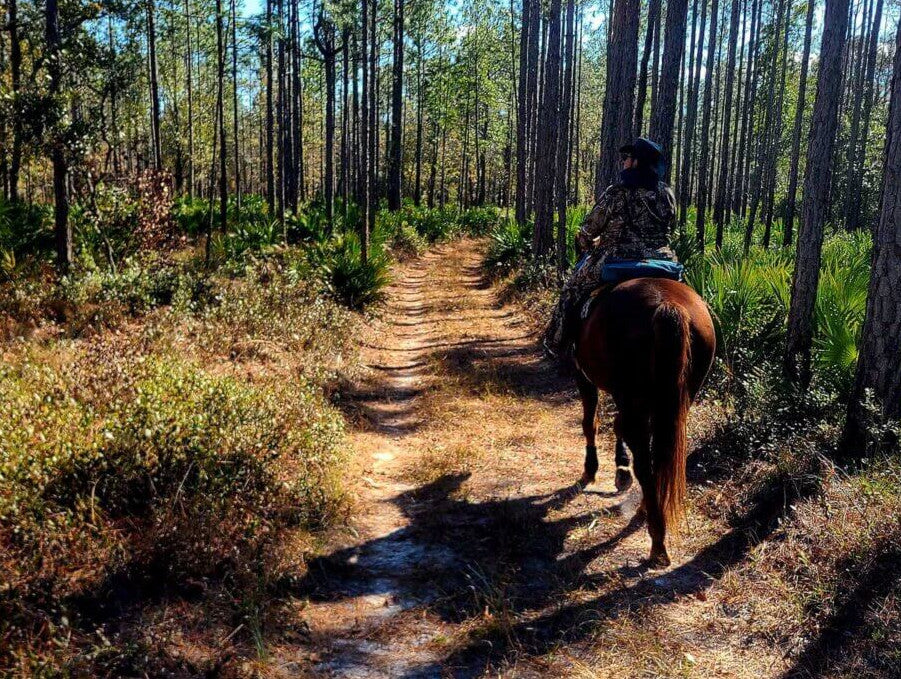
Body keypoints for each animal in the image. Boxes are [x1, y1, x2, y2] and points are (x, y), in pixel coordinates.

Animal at [573, 277, 716, 567]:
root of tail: (667, 304)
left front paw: (591, 470)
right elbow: (615, 425)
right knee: (658, 456)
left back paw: (657, 542)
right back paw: (649, 513)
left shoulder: (584, 377)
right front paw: (620, 469)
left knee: (643, 459)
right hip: (679, 397)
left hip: (632, 393)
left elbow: (591, 423)